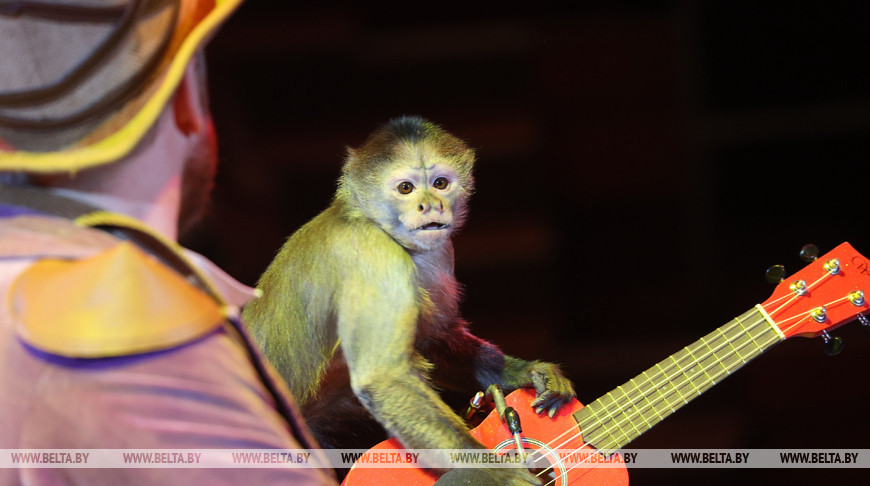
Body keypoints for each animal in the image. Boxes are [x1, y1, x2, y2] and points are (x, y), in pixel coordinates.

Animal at [242, 116, 576, 484]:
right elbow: (384, 379)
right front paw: (501, 475)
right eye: (406, 188)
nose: (430, 205)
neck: (365, 219)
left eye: (440, 183)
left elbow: (435, 341)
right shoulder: (372, 252)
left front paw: (529, 373)